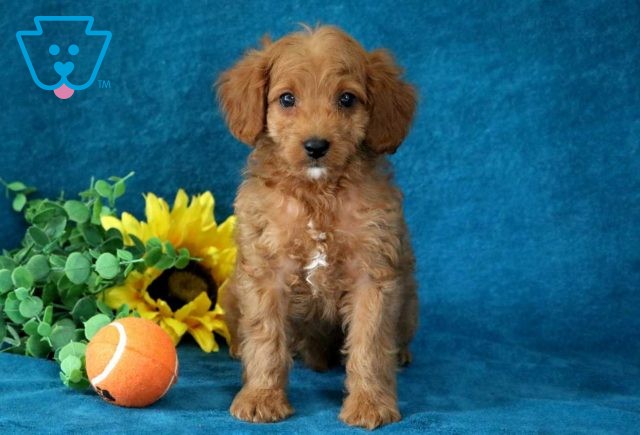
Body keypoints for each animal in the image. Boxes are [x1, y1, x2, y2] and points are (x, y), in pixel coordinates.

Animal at [218, 23, 418, 430]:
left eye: (346, 99)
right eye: (287, 99)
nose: (315, 146)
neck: (318, 196)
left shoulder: (372, 273)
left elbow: (370, 345)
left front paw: (370, 403)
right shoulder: (266, 271)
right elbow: (264, 338)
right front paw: (261, 396)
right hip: (231, 291)